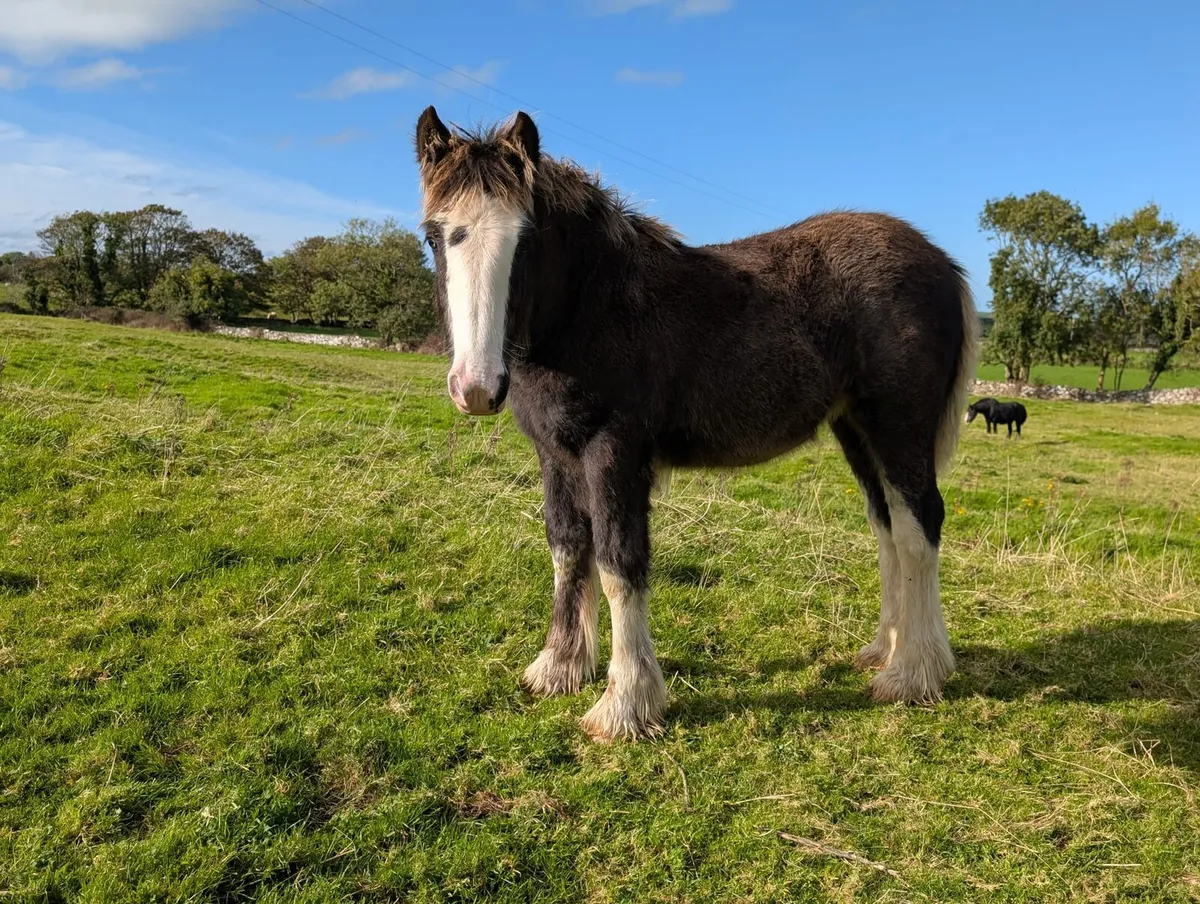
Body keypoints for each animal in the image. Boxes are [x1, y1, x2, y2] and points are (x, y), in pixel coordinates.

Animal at [413, 106, 980, 741]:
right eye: (433, 236)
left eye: (526, 238)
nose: (477, 388)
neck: (594, 308)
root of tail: (944, 264)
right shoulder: (556, 454)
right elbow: (567, 548)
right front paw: (559, 667)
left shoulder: (614, 453)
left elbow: (618, 561)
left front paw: (625, 703)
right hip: (856, 430)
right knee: (886, 526)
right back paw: (884, 649)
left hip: (899, 426)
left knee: (917, 526)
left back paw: (913, 674)